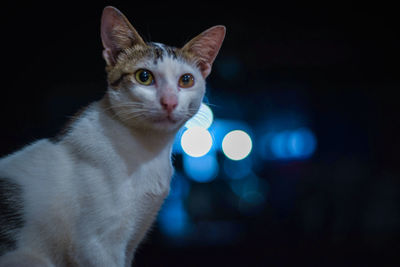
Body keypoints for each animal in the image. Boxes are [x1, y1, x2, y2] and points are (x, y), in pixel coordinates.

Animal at [0, 6, 225, 267]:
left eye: (186, 80)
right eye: (144, 77)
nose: (169, 102)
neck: (149, 150)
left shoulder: (130, 243)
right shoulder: (96, 245)